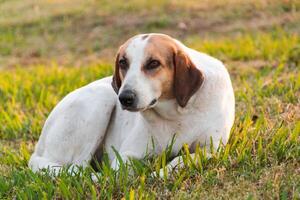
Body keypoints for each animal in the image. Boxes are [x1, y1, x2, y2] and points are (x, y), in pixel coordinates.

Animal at [28, 32, 234, 177]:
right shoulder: (127, 154)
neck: (177, 113)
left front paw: (160, 172)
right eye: (122, 62)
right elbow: (121, 170)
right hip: (101, 98)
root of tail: (38, 148)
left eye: (153, 63)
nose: (124, 97)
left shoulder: (212, 149)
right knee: (77, 169)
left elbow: (183, 159)